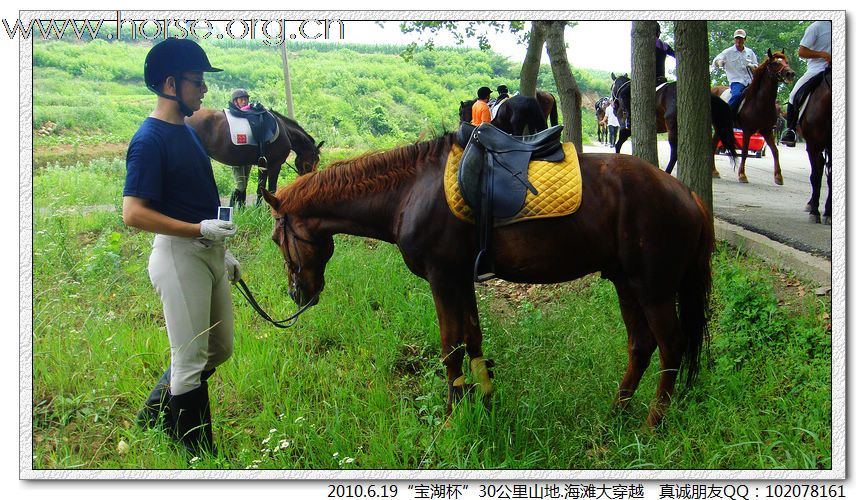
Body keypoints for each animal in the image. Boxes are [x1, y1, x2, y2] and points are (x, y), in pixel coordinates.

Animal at [187, 108, 322, 194]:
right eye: (314, 160)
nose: (309, 183)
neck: (285, 131)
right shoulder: (275, 165)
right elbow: (272, 189)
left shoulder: (263, 165)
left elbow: (260, 189)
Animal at [260, 131, 712, 428]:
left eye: (277, 238)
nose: (298, 294)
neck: (410, 192)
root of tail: (687, 194)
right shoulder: (461, 280)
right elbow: (473, 341)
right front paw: (482, 402)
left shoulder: (443, 279)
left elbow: (451, 348)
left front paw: (450, 418)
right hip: (626, 284)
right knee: (641, 346)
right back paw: (617, 412)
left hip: (653, 290)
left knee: (671, 348)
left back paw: (652, 424)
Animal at [708, 49, 796, 184]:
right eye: (775, 63)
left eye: (786, 61)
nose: (790, 73)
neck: (759, 102)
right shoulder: (747, 130)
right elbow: (744, 151)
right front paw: (742, 175)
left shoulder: (766, 131)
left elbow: (775, 151)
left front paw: (778, 176)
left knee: (714, 144)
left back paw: (715, 172)